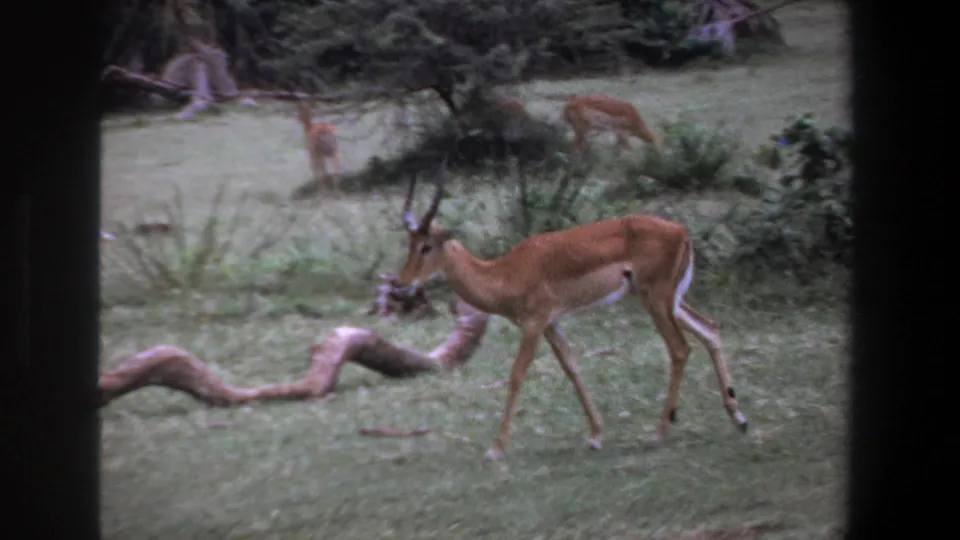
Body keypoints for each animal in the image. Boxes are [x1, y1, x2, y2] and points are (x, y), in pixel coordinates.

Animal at [394, 161, 748, 461]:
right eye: (408, 244)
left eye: (426, 246)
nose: (400, 283)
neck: (505, 273)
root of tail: (681, 231)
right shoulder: (552, 324)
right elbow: (572, 367)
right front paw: (596, 436)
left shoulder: (534, 323)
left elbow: (517, 375)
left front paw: (495, 449)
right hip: (669, 301)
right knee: (710, 328)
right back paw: (739, 419)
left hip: (657, 301)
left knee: (680, 349)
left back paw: (660, 432)